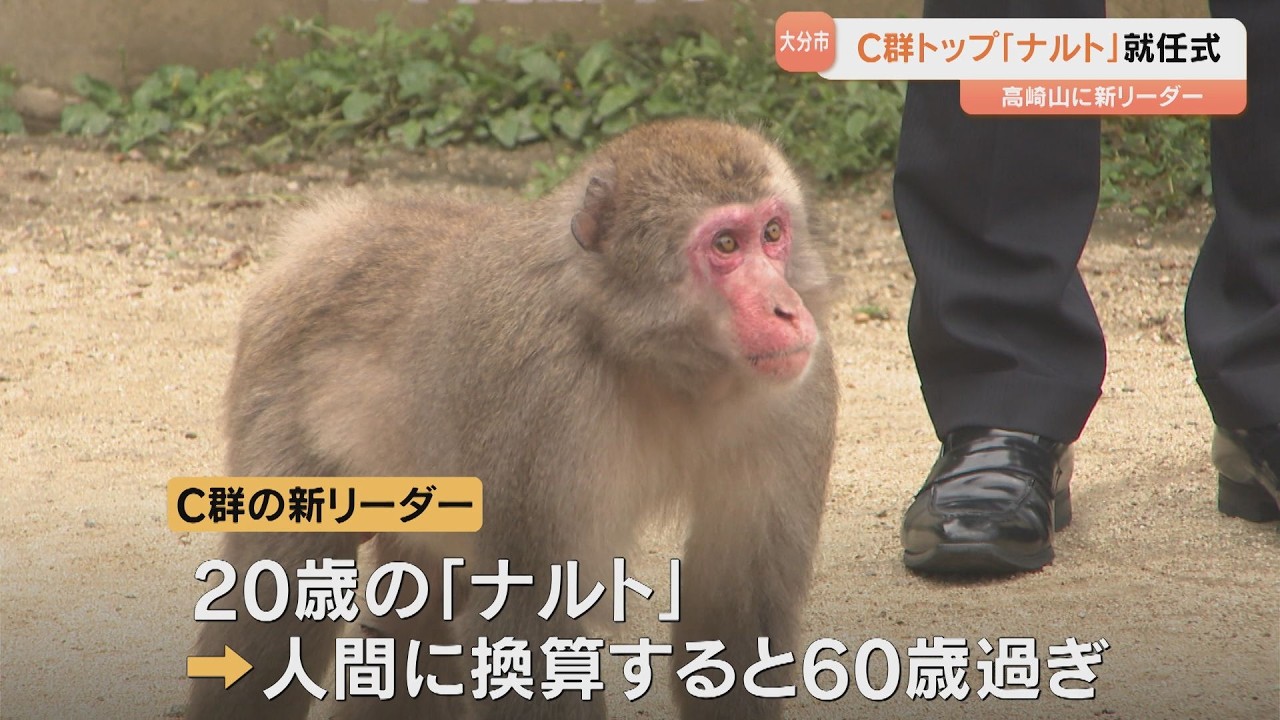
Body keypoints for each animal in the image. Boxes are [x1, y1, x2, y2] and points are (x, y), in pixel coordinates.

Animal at [185, 118, 838, 720]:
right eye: (725, 245)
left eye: (772, 233)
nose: (786, 308)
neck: (654, 362)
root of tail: (328, 231)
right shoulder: (536, 401)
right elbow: (532, 627)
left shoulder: (801, 393)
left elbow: (733, 614)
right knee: (278, 597)